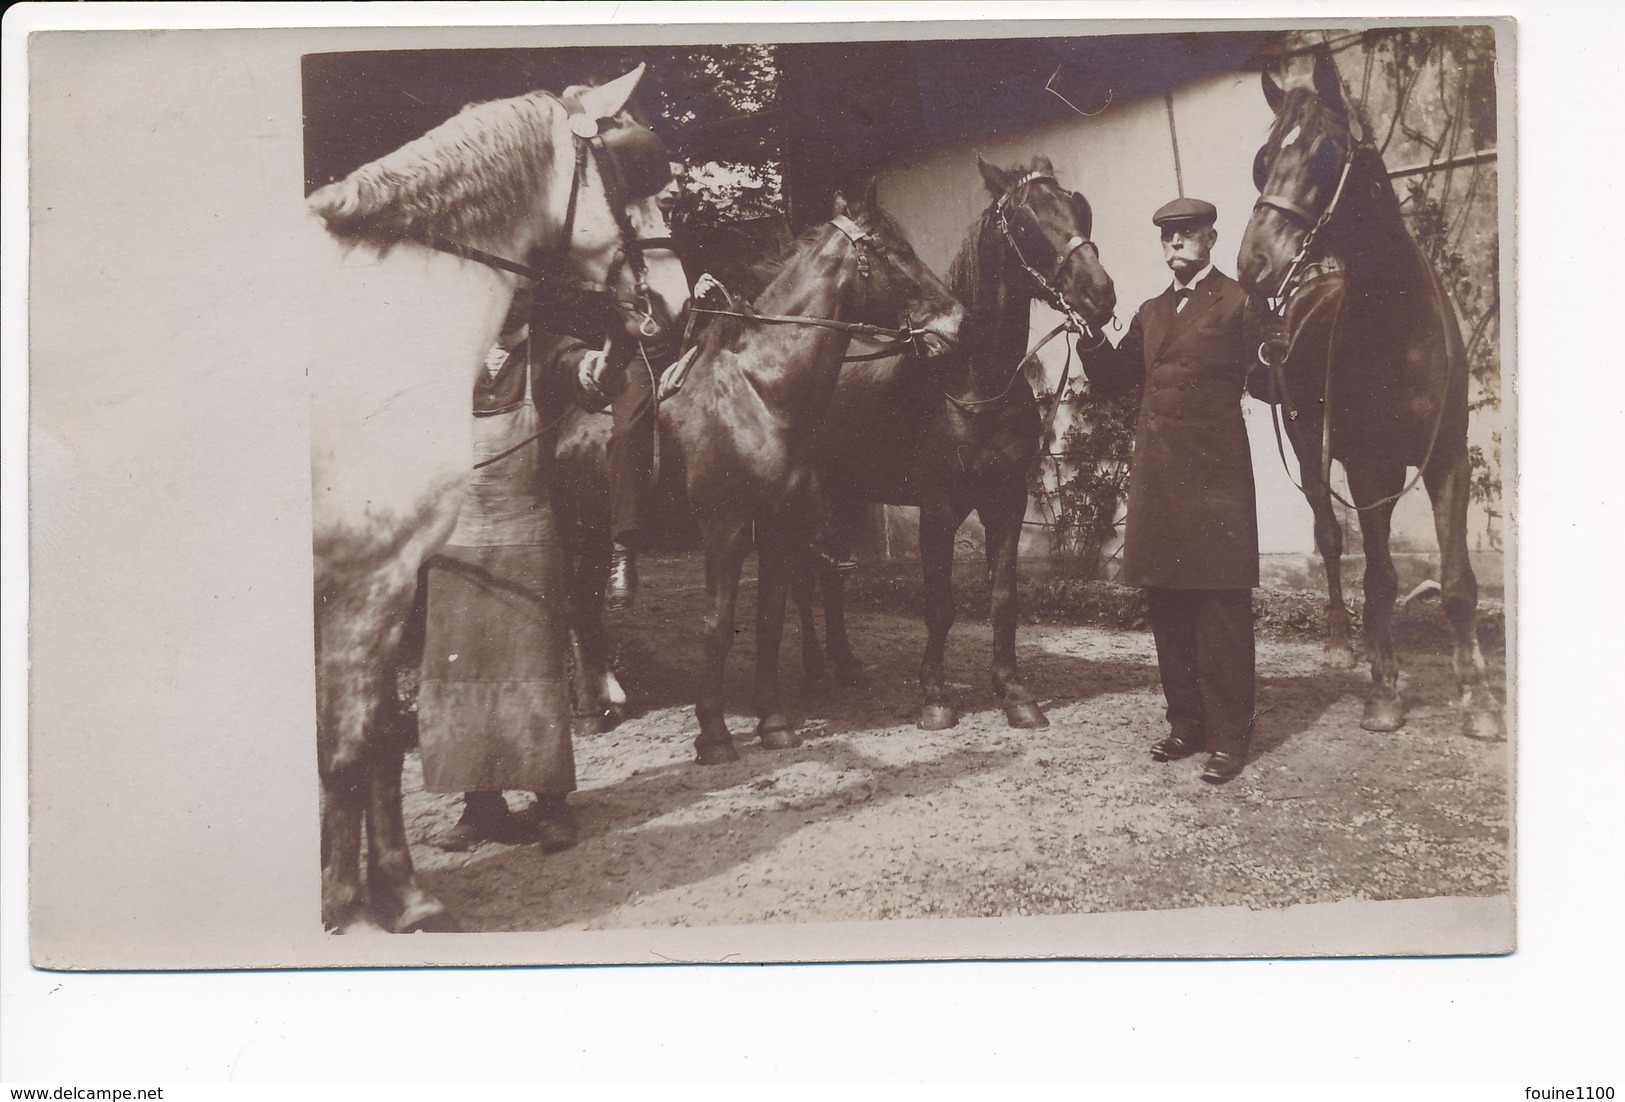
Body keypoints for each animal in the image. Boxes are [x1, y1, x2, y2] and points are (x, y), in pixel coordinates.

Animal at [552, 190, 955, 763]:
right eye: (893, 250)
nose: (956, 320)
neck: (762, 395)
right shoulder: (726, 533)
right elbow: (718, 628)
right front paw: (714, 734)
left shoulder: (780, 532)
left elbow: (769, 623)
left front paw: (774, 723)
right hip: (574, 534)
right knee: (571, 610)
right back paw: (587, 712)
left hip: (593, 540)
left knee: (586, 611)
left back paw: (606, 704)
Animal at [799, 157, 1118, 734]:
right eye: (1025, 223)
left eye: (1078, 207)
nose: (1099, 295)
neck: (974, 382)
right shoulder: (939, 507)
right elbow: (940, 602)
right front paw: (934, 696)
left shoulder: (1006, 502)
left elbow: (1003, 598)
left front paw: (1013, 692)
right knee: (799, 578)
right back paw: (813, 670)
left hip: (848, 496)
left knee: (830, 574)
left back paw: (847, 664)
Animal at [1228, 54, 1508, 741]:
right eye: (1263, 158)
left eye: (1327, 152)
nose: (1254, 263)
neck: (1398, 323)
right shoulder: (1368, 469)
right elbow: (1379, 577)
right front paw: (1382, 691)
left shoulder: (1447, 460)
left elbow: (1457, 581)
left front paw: (1479, 699)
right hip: (1308, 445)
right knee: (1330, 537)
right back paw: (1338, 642)